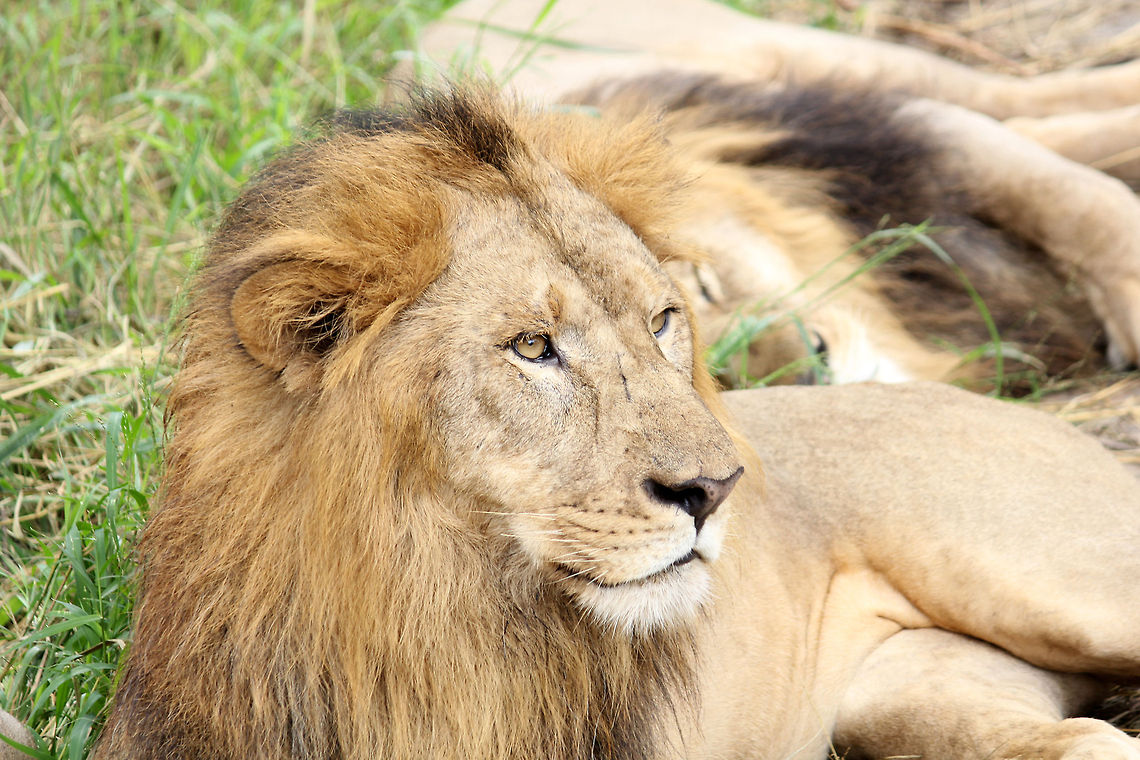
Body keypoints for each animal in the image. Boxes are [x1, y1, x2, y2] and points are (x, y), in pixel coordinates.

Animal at [70, 87, 1140, 760]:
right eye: (533, 346)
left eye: (663, 319)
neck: (438, 631)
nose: (718, 490)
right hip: (904, 696)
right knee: (1080, 740)